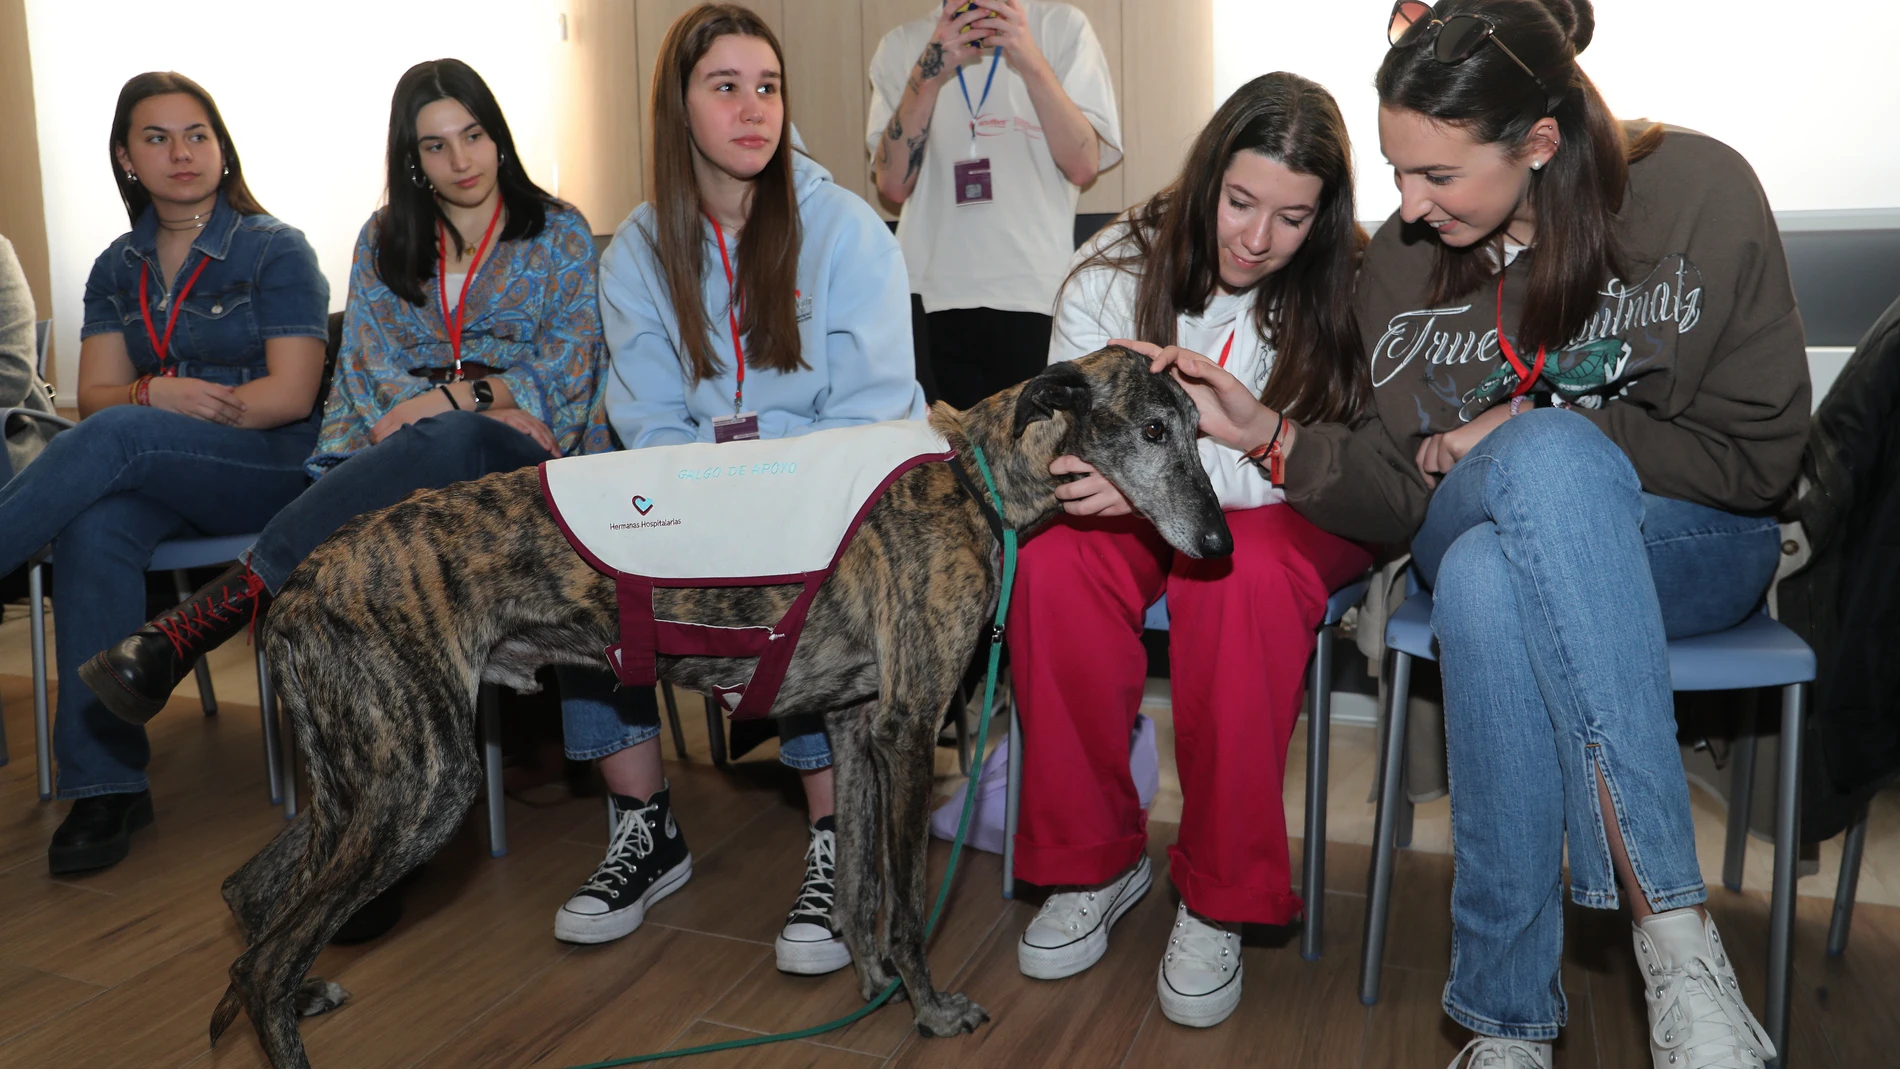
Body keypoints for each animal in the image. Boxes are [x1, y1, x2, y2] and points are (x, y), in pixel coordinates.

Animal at [211, 347, 1231, 1063]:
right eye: (1151, 430)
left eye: (1199, 429)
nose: (1220, 547)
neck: (969, 471)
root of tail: (296, 583)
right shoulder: (905, 728)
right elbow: (903, 896)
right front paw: (929, 1007)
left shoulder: (857, 726)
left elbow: (858, 887)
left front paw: (869, 981)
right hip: (422, 784)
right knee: (264, 956)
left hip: (369, 778)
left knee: (250, 894)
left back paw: (301, 989)